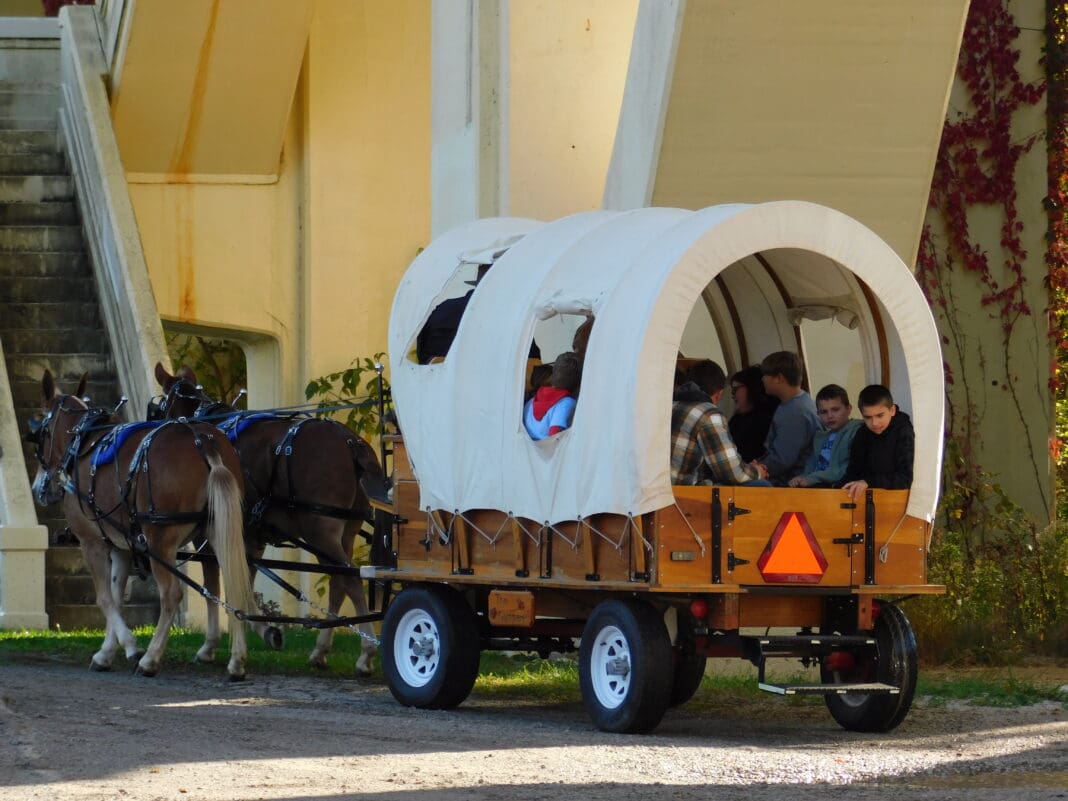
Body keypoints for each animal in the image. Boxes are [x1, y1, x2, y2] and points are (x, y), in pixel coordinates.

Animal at [29, 373, 256, 679]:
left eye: (40, 433)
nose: (38, 489)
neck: (82, 443)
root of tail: (204, 442)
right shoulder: (121, 547)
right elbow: (115, 596)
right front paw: (106, 653)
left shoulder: (92, 542)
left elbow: (104, 598)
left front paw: (131, 647)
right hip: (218, 533)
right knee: (233, 585)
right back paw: (236, 661)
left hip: (160, 541)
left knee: (171, 594)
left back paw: (151, 658)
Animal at [150, 365, 384, 679]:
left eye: (160, 405)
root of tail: (350, 442)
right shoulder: (251, 538)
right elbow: (245, 583)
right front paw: (261, 631)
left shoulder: (210, 535)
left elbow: (213, 586)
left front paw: (211, 646)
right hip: (346, 529)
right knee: (338, 581)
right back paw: (321, 650)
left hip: (321, 530)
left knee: (349, 578)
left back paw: (366, 652)